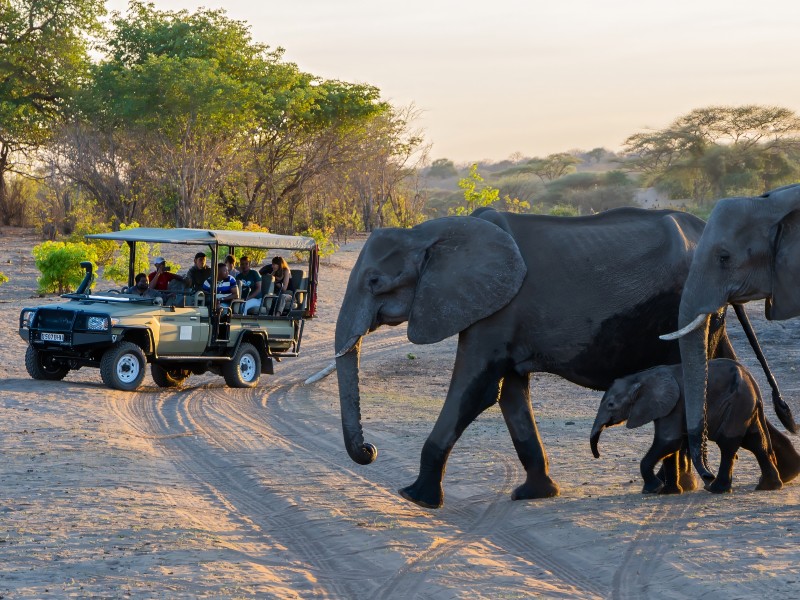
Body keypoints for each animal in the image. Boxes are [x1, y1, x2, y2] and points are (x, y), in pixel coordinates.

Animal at [590, 359, 800, 494]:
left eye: (610, 404)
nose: (597, 455)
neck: (641, 377)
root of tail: (753, 382)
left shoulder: (674, 405)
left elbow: (668, 442)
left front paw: (653, 489)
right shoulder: (668, 407)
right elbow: (670, 447)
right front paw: (669, 492)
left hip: (738, 404)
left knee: (728, 443)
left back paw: (716, 489)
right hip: (745, 407)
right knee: (755, 442)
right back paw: (768, 486)